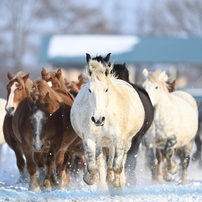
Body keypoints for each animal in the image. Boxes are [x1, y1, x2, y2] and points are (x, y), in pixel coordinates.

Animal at [70, 53, 144, 189]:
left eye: (106, 89)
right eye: (89, 89)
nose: (98, 119)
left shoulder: (119, 139)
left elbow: (118, 166)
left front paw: (118, 184)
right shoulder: (89, 139)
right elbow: (93, 167)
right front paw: (89, 179)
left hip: (127, 141)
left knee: (121, 159)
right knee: (101, 162)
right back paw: (104, 184)